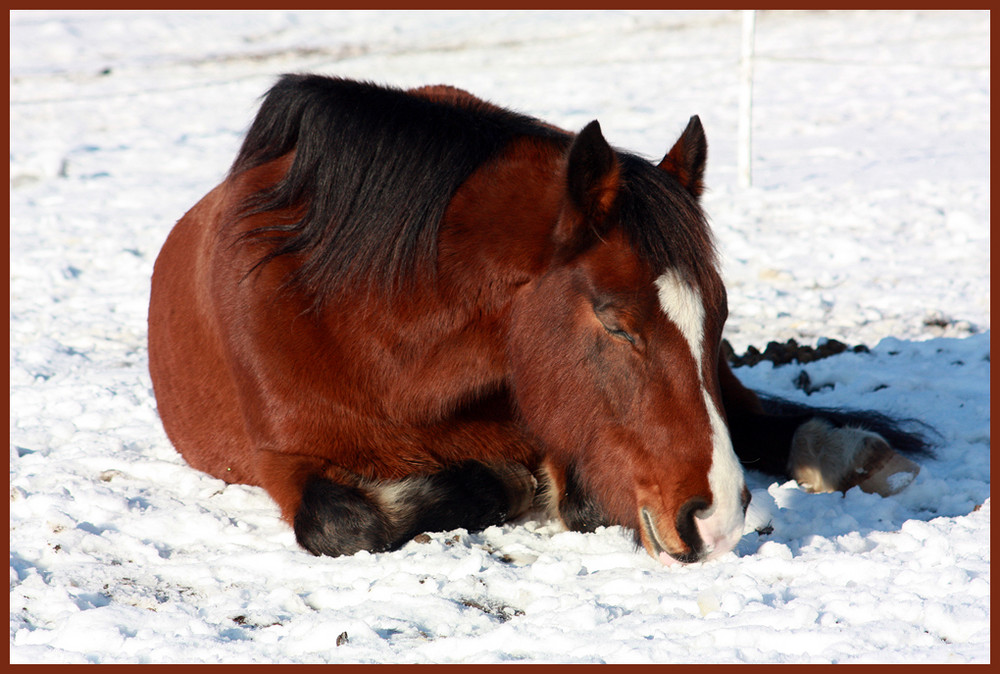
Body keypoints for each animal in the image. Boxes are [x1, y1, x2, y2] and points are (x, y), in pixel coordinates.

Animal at [150, 76, 928, 564]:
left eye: (718, 320)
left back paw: (854, 453)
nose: (716, 519)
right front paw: (522, 486)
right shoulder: (283, 462)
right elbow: (346, 521)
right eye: (615, 323)